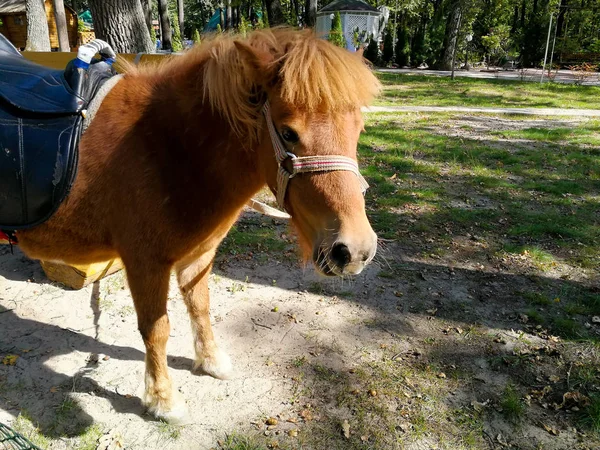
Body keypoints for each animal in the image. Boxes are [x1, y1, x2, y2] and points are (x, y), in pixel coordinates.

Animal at [16, 28, 382, 422]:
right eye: (288, 133)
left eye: (358, 129)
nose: (355, 250)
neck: (165, 148)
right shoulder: (145, 263)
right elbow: (156, 329)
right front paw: (162, 399)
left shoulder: (199, 255)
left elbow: (200, 307)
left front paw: (210, 361)